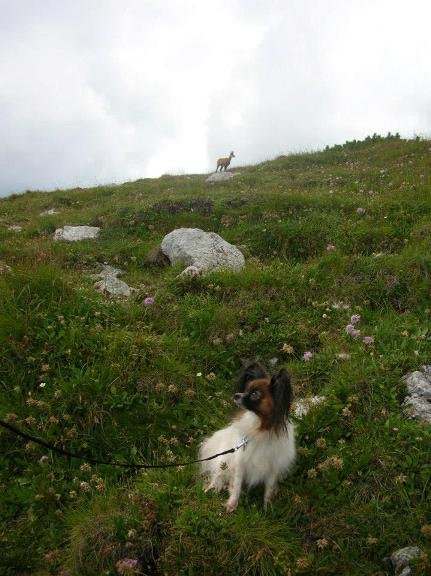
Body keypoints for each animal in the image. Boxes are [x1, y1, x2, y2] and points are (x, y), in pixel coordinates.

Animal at [200, 362, 296, 510]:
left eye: (255, 394)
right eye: (246, 390)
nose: (236, 395)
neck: (260, 426)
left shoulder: (273, 467)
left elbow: (268, 490)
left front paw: (267, 508)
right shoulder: (240, 463)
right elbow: (237, 486)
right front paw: (232, 505)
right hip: (223, 462)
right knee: (217, 477)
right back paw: (211, 488)